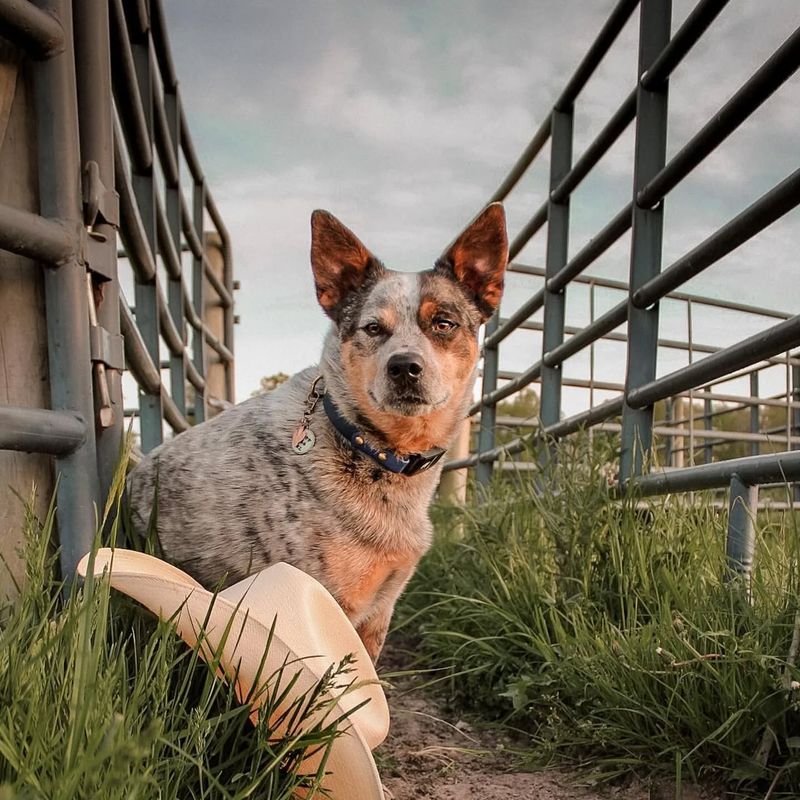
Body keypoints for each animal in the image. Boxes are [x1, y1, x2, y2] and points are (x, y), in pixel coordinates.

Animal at [128, 202, 510, 664]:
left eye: (443, 323)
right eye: (373, 328)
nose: (404, 366)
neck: (373, 452)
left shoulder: (381, 609)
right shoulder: (322, 600)